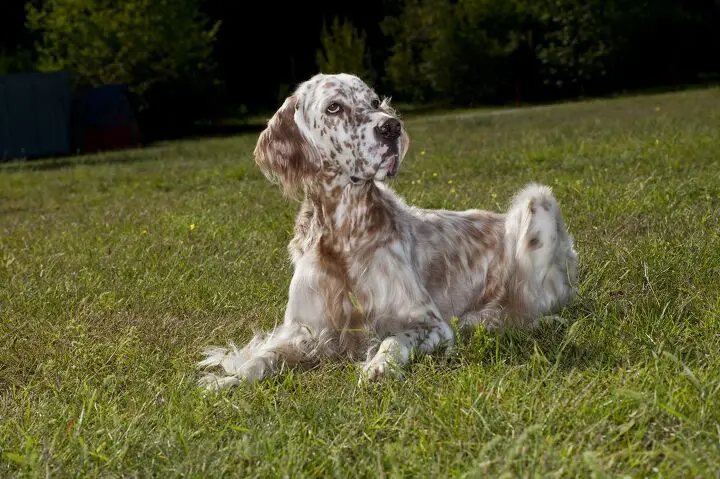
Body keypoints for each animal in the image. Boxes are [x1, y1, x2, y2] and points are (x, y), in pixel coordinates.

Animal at [198, 74, 580, 390]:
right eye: (334, 107)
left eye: (374, 101)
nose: (392, 127)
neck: (344, 233)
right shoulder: (306, 329)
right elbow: (264, 357)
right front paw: (228, 381)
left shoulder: (430, 324)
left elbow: (392, 340)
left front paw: (379, 366)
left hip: (538, 201)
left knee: (539, 304)